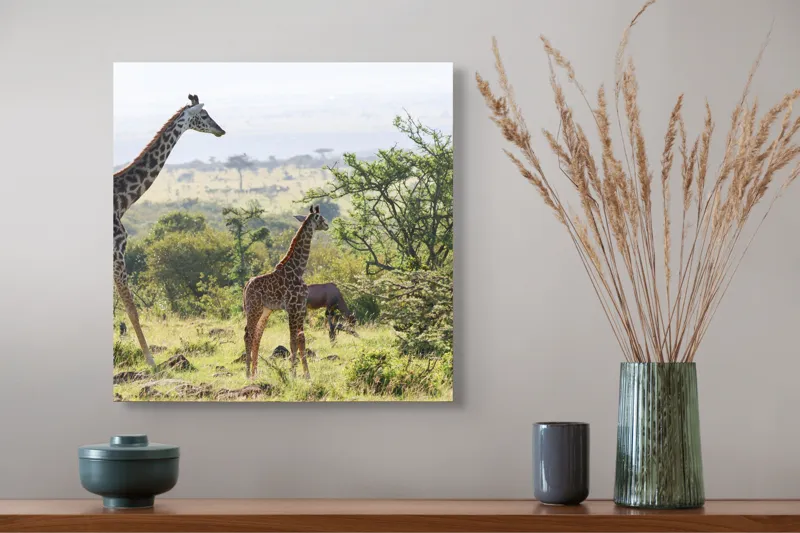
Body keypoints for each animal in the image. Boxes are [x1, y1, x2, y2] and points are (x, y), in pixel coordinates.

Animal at [114, 94, 225, 367]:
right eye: (204, 114)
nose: (221, 130)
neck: (122, 201)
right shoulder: (117, 252)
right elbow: (131, 309)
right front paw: (151, 361)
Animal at [242, 205, 329, 380]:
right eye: (321, 218)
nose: (327, 225)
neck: (298, 269)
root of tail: (247, 285)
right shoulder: (293, 308)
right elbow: (292, 341)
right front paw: (293, 373)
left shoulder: (301, 308)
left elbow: (301, 339)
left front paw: (307, 374)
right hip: (254, 308)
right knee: (248, 335)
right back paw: (248, 373)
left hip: (264, 311)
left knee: (257, 336)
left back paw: (255, 373)